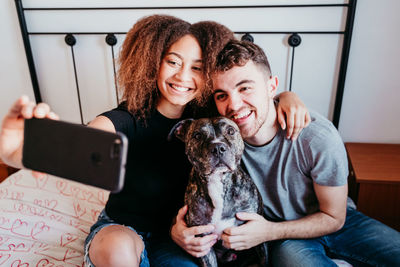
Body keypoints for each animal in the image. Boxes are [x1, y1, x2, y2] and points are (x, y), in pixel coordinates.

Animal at [170, 117, 268, 267]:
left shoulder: (256, 234)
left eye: (231, 131)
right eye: (197, 136)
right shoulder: (203, 242)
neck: (218, 182)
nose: (217, 148)